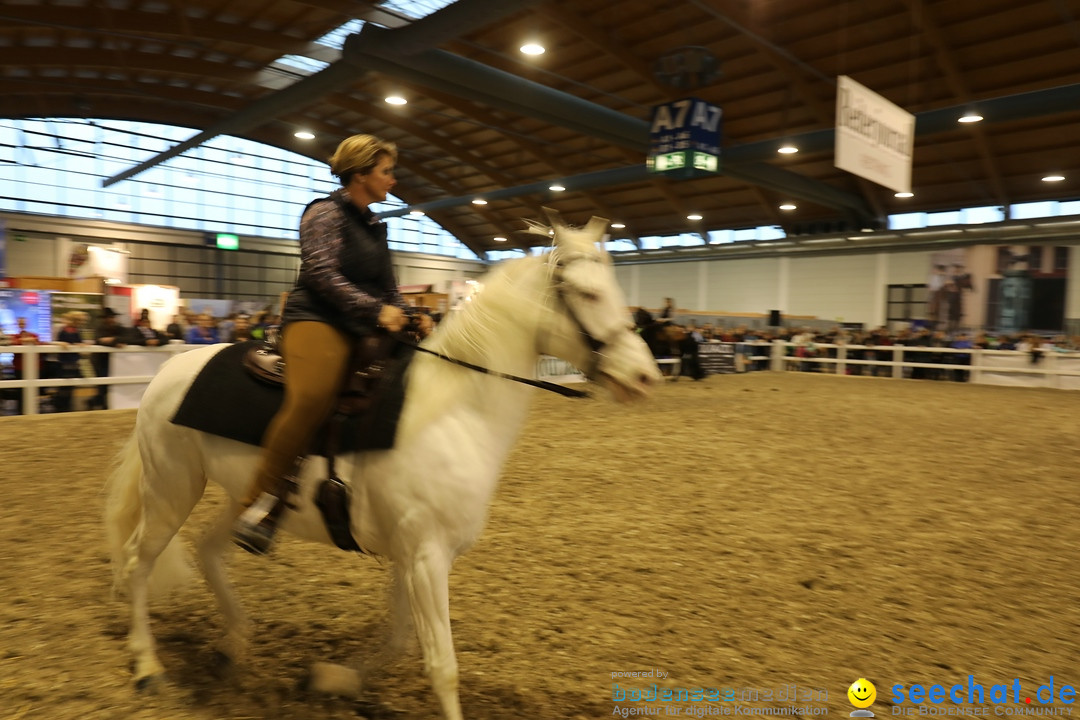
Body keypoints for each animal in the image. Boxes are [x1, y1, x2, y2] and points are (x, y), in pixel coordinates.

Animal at [103, 209, 656, 720]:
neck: (453, 411)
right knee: (137, 561)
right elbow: (441, 664)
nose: (645, 376)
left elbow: (401, 638)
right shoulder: (427, 557)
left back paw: (233, 644)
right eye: (586, 294)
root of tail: (171, 369)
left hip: (236, 495)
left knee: (208, 549)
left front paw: (335, 678)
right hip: (171, 487)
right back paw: (148, 666)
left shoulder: (412, 557)